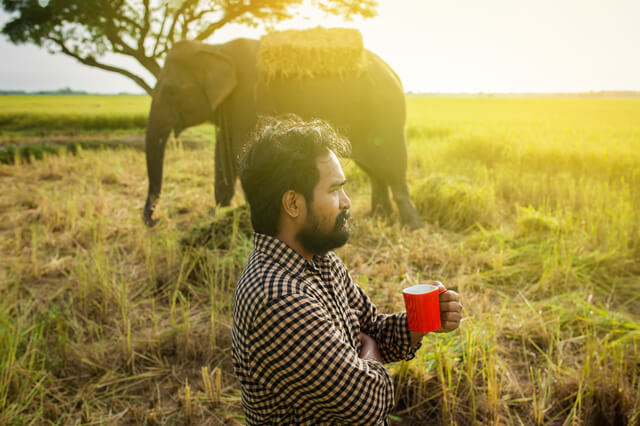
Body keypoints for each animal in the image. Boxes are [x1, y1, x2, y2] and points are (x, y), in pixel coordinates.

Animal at [146, 37, 424, 230]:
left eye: (172, 92)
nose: (154, 222)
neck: (216, 48)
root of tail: (393, 71)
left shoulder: (248, 100)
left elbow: (240, 154)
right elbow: (222, 158)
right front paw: (216, 218)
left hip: (386, 113)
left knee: (393, 166)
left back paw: (411, 226)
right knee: (375, 169)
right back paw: (379, 217)